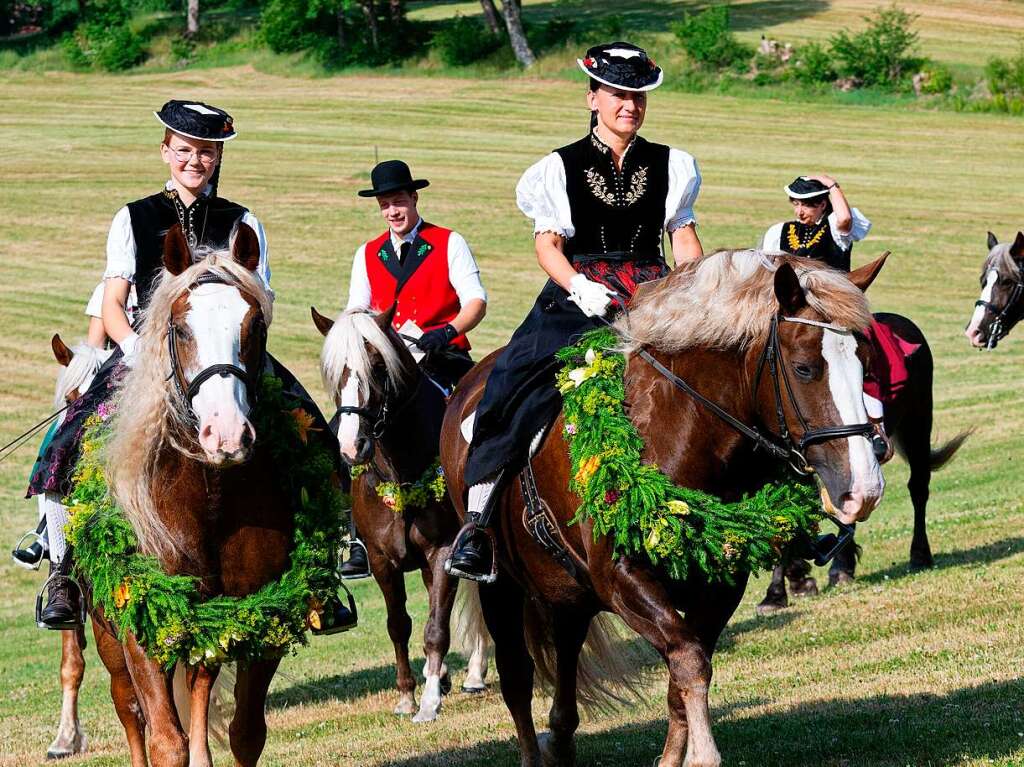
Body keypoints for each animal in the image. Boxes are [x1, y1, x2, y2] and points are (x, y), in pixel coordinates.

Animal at [82, 224, 303, 761]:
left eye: (255, 327)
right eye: (181, 329)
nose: (226, 435)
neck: (210, 499)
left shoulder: (261, 617)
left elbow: (246, 733)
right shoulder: (139, 626)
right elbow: (166, 740)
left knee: (200, 685)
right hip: (108, 637)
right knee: (130, 708)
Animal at [311, 303, 487, 716]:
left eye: (378, 367)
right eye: (333, 373)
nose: (351, 446)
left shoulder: (442, 552)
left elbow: (436, 627)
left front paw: (429, 699)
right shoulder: (382, 561)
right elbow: (398, 624)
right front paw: (408, 694)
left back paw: (473, 673)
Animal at [440, 250, 888, 765]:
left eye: (866, 364)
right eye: (804, 368)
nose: (864, 490)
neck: (681, 427)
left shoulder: (719, 584)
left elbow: (684, 671)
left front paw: (675, 756)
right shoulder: (622, 578)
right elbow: (689, 661)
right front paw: (704, 755)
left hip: (567, 593)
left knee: (565, 674)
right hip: (502, 585)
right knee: (517, 677)